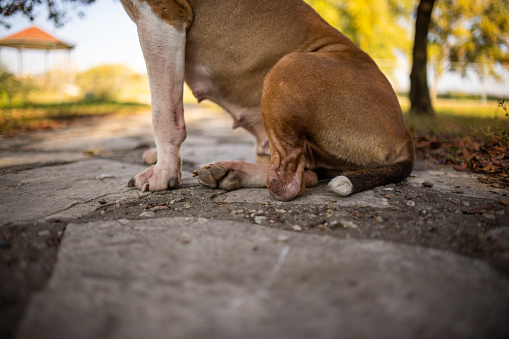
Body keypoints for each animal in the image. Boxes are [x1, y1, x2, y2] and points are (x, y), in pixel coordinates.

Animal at [122, 0, 412, 201]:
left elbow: (163, 113)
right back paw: (229, 172)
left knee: (294, 178)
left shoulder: (163, 15)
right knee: (309, 171)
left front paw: (163, 172)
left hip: (288, 64)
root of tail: (405, 135)